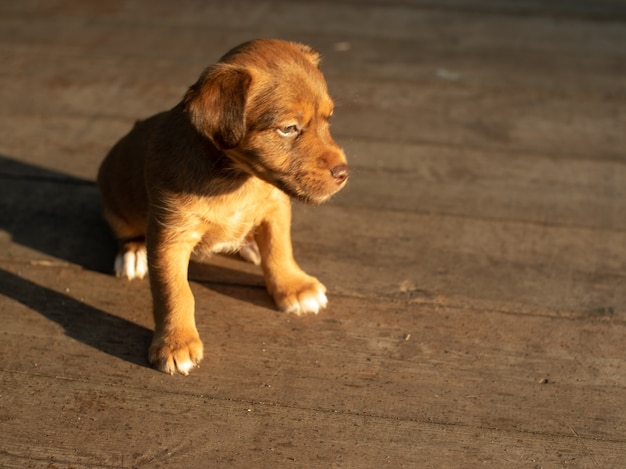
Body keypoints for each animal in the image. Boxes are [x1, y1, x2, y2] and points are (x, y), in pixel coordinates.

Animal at [96, 40, 346, 376]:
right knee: (126, 231)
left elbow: (280, 250)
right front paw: (176, 343)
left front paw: (293, 287)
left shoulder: (276, 209)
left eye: (328, 119)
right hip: (117, 204)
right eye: (289, 128)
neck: (237, 179)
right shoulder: (170, 236)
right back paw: (133, 252)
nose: (344, 173)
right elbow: (175, 292)